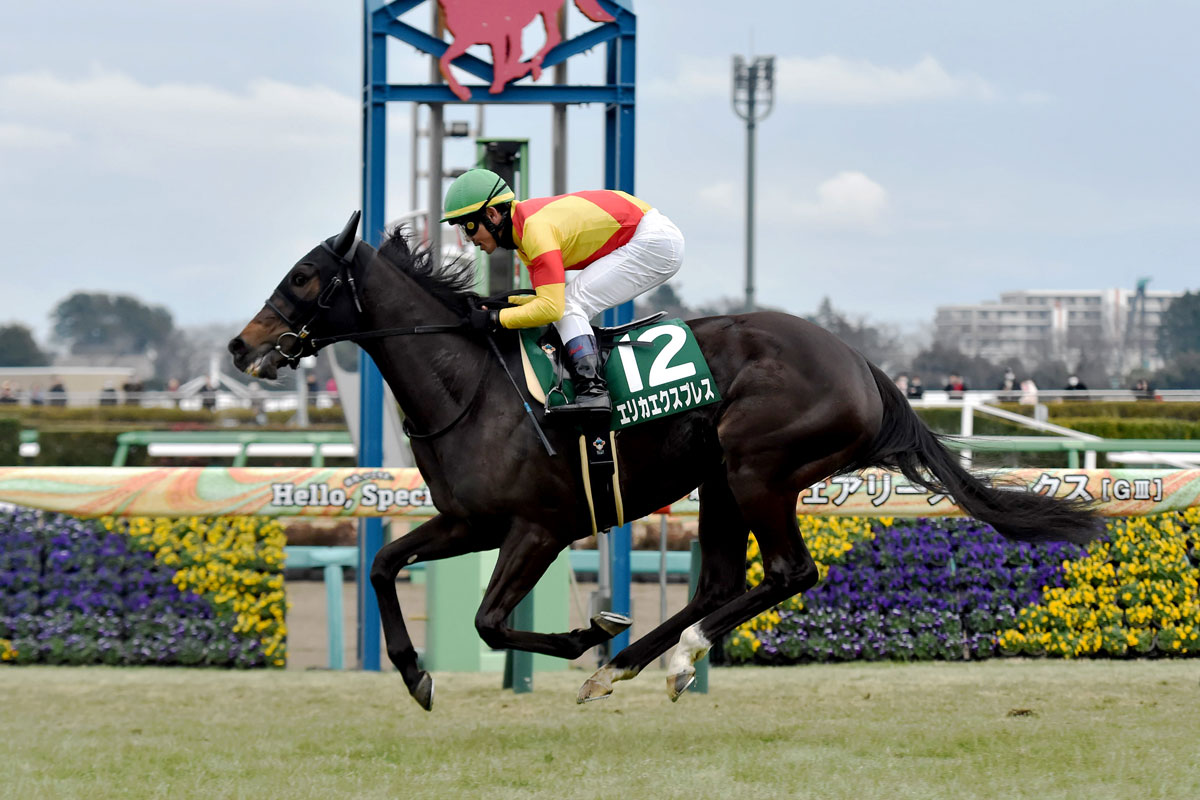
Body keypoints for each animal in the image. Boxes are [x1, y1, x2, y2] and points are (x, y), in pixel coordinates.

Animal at [228, 212, 1102, 709]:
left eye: (304, 276)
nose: (240, 346)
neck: (468, 383)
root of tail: (862, 365)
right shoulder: (470, 522)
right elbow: (383, 567)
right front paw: (414, 674)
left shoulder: (537, 526)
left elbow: (490, 621)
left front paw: (584, 632)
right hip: (719, 478)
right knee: (719, 582)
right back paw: (623, 667)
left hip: (758, 467)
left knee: (787, 573)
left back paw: (671, 659)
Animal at [437, 0, 614, 101]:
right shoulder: (465, 40)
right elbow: (444, 60)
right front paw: (463, 92)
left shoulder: (498, 35)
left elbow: (503, 63)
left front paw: (498, 85)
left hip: (543, 11)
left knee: (551, 38)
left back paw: (532, 66)